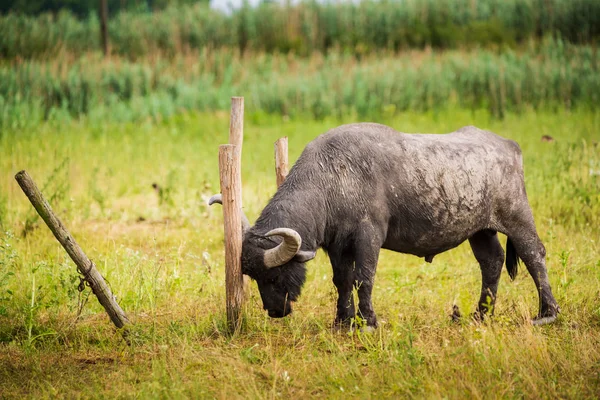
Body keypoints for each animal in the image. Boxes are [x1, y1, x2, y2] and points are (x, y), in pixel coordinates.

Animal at [210, 124, 556, 328]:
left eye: (274, 275)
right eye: (253, 277)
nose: (274, 311)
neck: (333, 178)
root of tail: (509, 146)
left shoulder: (369, 236)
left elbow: (364, 278)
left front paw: (369, 321)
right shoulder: (338, 246)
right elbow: (342, 280)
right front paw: (342, 321)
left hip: (517, 216)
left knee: (533, 254)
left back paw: (546, 314)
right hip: (480, 230)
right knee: (492, 262)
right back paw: (481, 314)